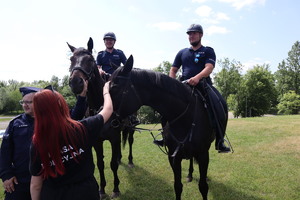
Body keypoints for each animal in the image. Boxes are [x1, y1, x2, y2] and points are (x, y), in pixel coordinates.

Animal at [67, 37, 135, 198]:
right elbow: (100, 164)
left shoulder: (114, 138)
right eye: (71, 59)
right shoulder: (96, 141)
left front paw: (115, 189)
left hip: (131, 129)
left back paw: (129, 160)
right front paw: (102, 190)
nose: (75, 82)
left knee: (129, 141)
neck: (101, 107)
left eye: (90, 60)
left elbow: (112, 165)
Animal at [109, 55, 221, 200]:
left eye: (114, 87)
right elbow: (178, 187)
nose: (103, 115)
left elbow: (203, 187)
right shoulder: (173, 156)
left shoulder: (202, 154)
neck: (185, 115)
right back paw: (190, 174)